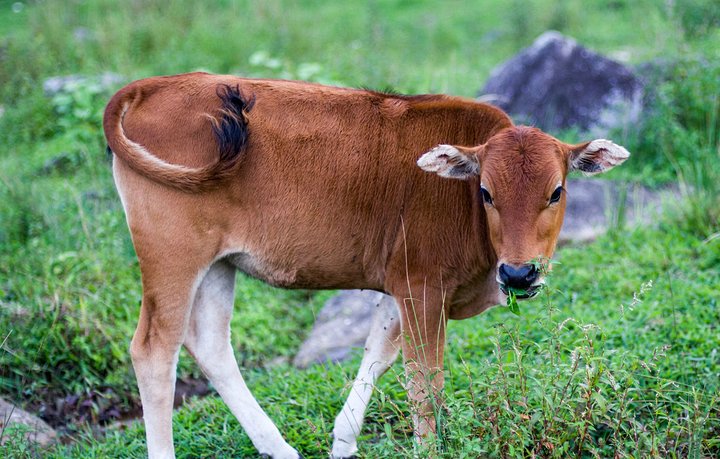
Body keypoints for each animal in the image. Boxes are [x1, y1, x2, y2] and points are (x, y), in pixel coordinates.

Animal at [102, 73, 632, 459]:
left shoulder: (400, 288)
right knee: (154, 351)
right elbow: (424, 386)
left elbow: (378, 355)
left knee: (210, 344)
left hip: (217, 265)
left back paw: (280, 449)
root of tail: (153, 85)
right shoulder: (421, 288)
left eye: (556, 191)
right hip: (172, 258)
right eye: (485, 192)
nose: (519, 275)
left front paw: (343, 441)